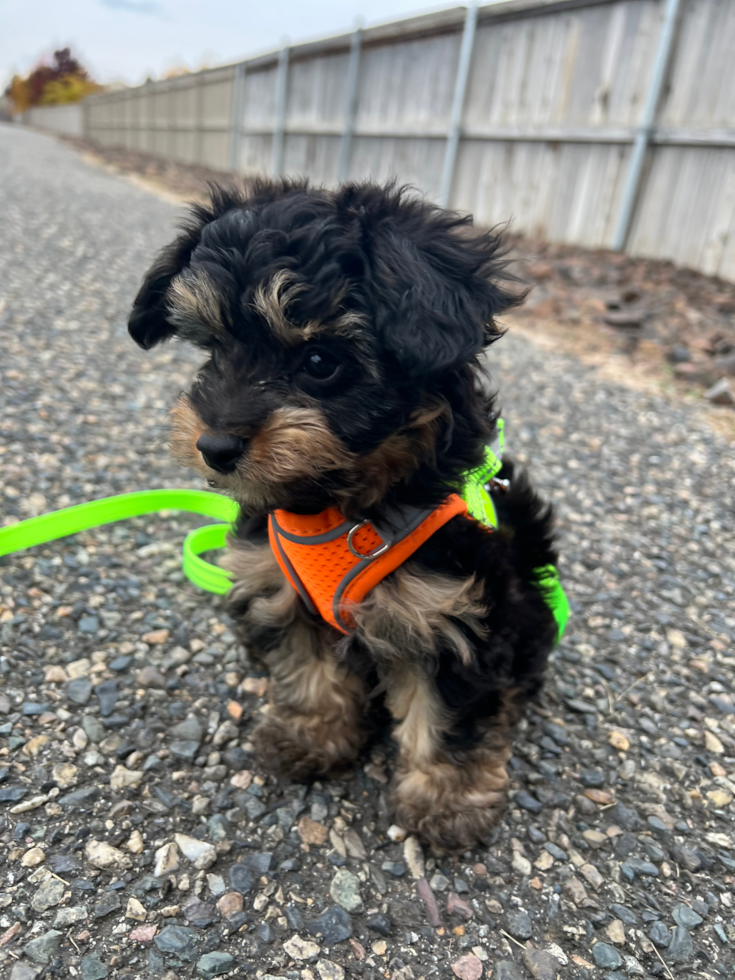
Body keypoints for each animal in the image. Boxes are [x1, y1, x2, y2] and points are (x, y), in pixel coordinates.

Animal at [129, 180, 560, 852]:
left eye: (320, 362)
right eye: (215, 349)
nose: (215, 446)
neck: (340, 505)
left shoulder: (455, 615)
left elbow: (449, 713)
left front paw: (446, 801)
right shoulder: (277, 585)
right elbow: (306, 667)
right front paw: (309, 735)